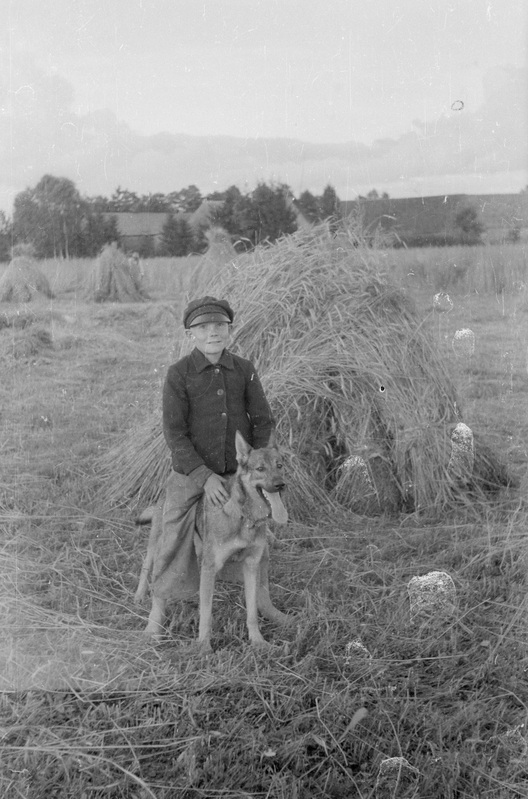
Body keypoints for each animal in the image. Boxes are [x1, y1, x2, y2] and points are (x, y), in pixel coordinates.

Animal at [134, 434, 290, 652]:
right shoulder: (211, 567)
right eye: (260, 468)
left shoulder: (251, 565)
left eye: (279, 465)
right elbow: (206, 615)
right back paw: (142, 602)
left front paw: (257, 641)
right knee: (148, 567)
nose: (280, 485)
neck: (244, 518)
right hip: (160, 542)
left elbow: (251, 612)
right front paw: (204, 647)